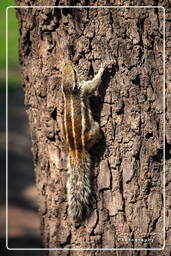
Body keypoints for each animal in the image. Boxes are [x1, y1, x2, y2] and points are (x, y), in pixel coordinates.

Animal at [61, 61, 107, 223]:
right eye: (75, 72)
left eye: (67, 69)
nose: (69, 61)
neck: (69, 93)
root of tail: (76, 148)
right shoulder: (85, 89)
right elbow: (94, 84)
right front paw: (103, 69)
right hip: (95, 129)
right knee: (97, 134)